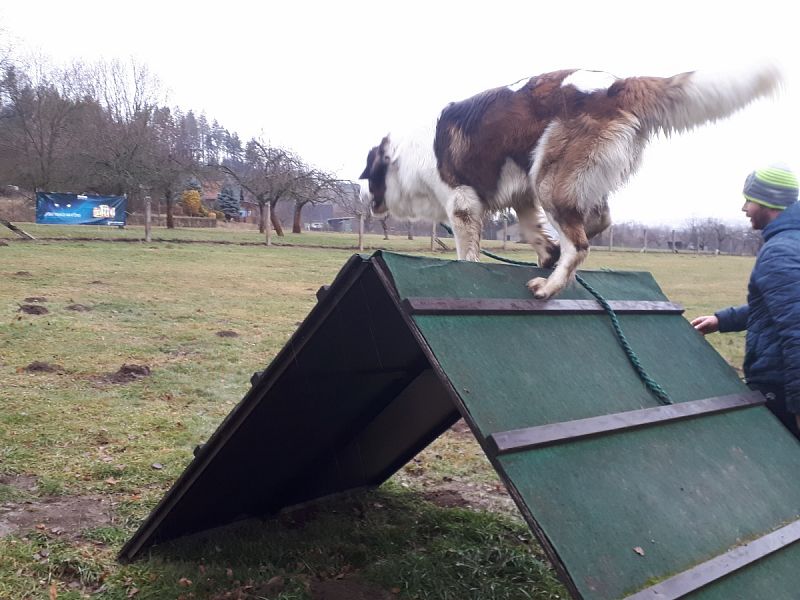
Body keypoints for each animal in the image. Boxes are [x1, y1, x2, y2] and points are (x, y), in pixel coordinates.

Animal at [360, 64, 780, 298]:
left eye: (371, 180)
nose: (370, 204)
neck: (405, 158)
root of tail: (617, 85)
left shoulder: (462, 203)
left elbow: (468, 252)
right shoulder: (522, 193)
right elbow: (529, 227)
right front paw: (545, 249)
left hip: (549, 178)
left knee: (579, 244)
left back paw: (550, 285)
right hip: (554, 176)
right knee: (598, 220)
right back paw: (556, 256)